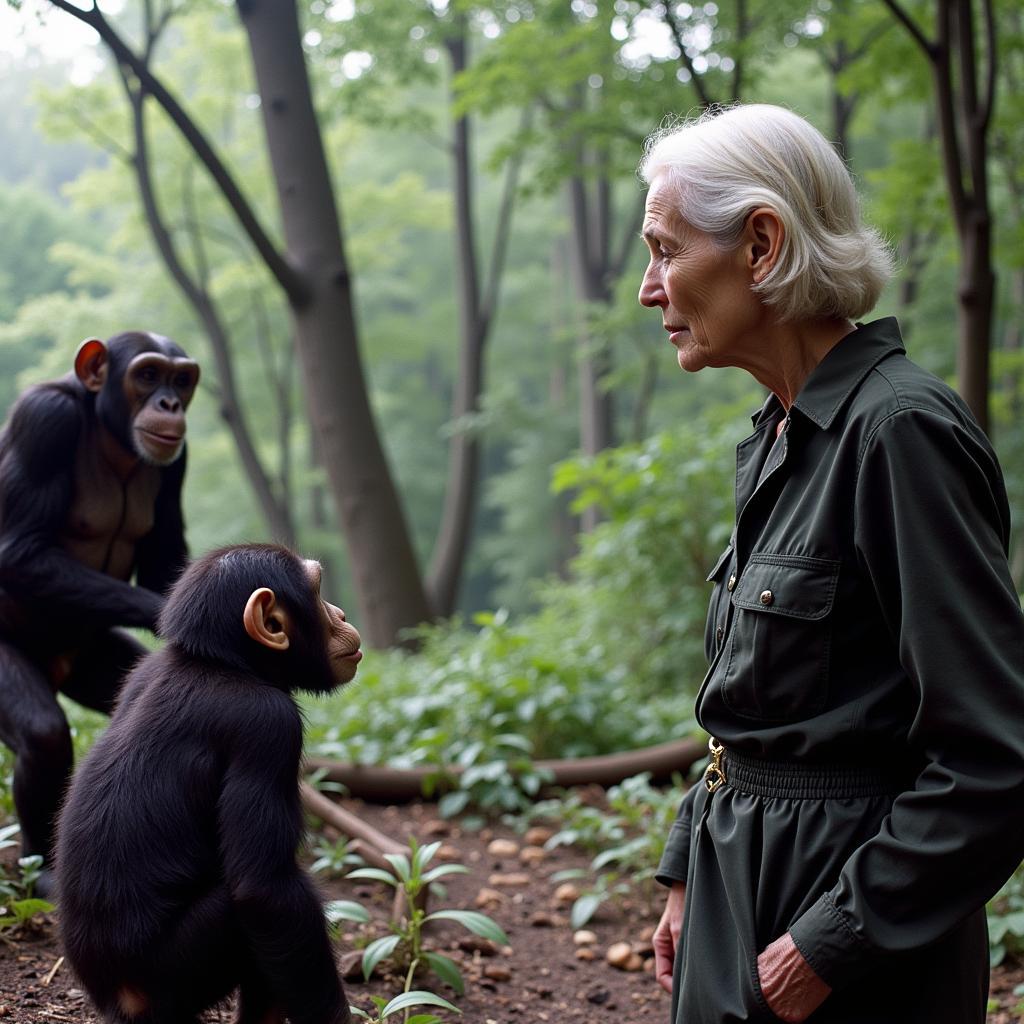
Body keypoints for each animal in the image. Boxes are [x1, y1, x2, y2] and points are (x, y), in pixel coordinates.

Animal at [0, 329, 200, 880]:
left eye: (182, 379)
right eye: (148, 375)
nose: (170, 403)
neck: (111, 436)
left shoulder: (179, 463)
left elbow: (164, 555)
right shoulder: (43, 422)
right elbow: (20, 550)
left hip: (92, 660)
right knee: (43, 736)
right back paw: (41, 869)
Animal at [56, 548, 362, 1024]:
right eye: (316, 591)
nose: (342, 614)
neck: (224, 663)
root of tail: (115, 1001)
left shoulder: (139, 672)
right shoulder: (270, 728)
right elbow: (265, 891)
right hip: (173, 975)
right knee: (263, 913)